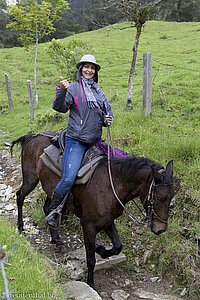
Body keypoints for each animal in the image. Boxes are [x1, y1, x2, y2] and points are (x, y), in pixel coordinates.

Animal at [10, 132, 174, 290]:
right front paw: (91, 283)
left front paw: (100, 249)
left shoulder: (107, 222)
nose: (161, 229)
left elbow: (117, 247)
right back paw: (20, 228)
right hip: (31, 179)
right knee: (20, 197)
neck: (112, 186)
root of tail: (33, 136)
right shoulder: (88, 225)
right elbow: (91, 260)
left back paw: (57, 240)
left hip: (51, 189)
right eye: (159, 197)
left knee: (48, 209)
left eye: (172, 195)